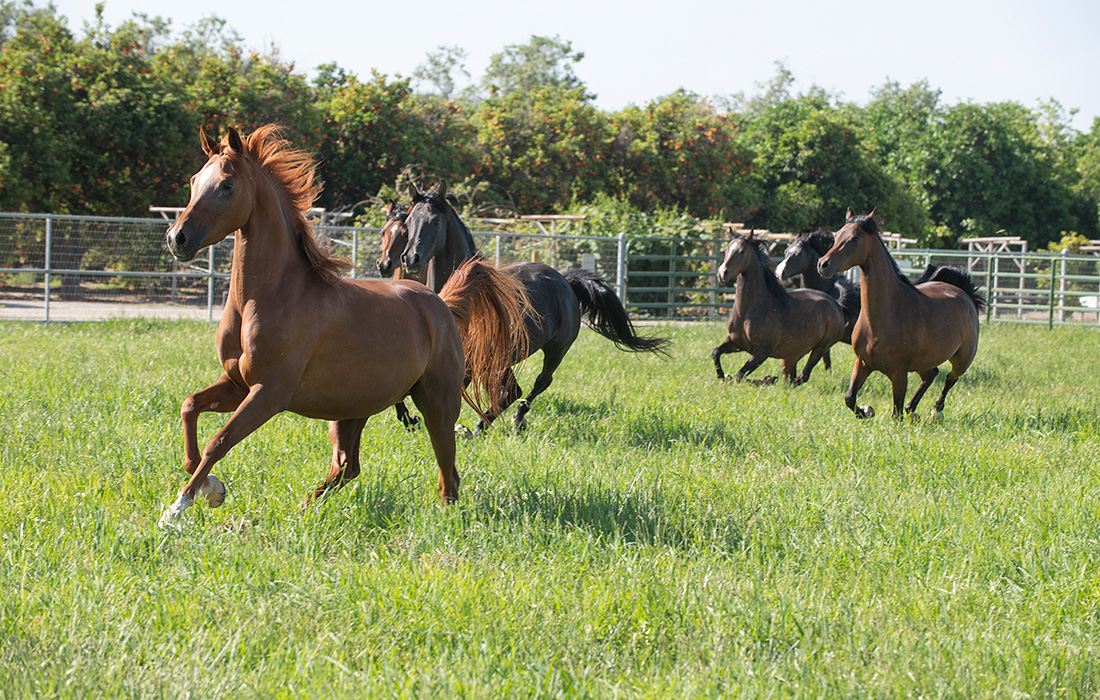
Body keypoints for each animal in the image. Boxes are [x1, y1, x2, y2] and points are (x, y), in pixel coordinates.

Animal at [158, 125, 529, 526]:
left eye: (226, 185)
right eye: (194, 181)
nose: (177, 238)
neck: (271, 296)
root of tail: (441, 304)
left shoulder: (269, 393)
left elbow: (219, 441)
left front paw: (177, 508)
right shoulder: (238, 383)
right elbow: (190, 407)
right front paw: (212, 488)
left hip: (437, 401)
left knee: (447, 468)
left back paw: (444, 516)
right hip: (350, 410)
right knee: (347, 466)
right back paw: (304, 509)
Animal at [399, 180, 670, 431]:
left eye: (435, 221)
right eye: (409, 221)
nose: (411, 258)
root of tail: (566, 281)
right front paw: (410, 420)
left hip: (555, 349)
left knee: (537, 383)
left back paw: (511, 419)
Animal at [711, 230, 852, 385]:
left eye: (741, 251)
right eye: (726, 250)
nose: (722, 273)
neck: (747, 312)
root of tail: (836, 303)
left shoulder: (763, 351)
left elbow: (739, 376)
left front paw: (766, 378)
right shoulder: (735, 342)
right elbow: (716, 353)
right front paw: (721, 375)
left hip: (821, 347)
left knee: (802, 376)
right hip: (792, 354)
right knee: (790, 379)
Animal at [817, 209, 984, 419]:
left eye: (855, 239)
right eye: (837, 235)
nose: (823, 264)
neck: (884, 318)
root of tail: (964, 293)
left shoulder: (899, 374)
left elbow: (896, 413)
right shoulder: (862, 363)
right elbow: (849, 398)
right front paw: (866, 411)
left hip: (962, 359)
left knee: (949, 378)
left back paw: (935, 409)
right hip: (924, 361)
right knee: (931, 374)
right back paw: (912, 408)